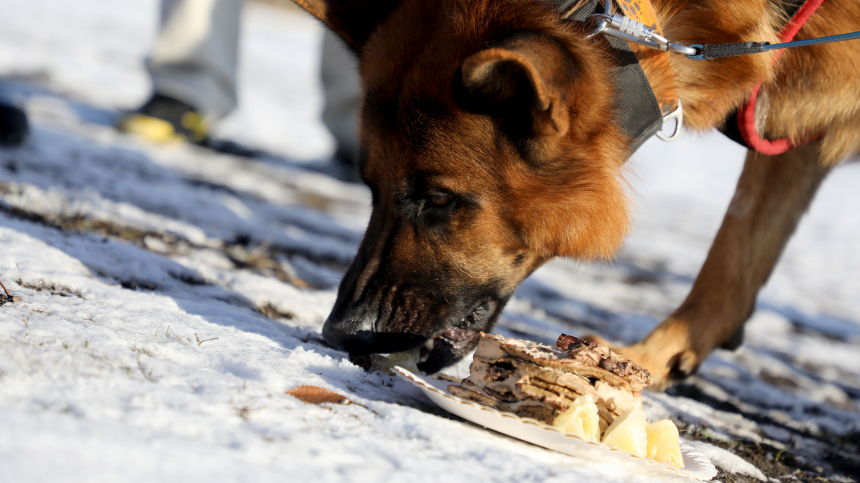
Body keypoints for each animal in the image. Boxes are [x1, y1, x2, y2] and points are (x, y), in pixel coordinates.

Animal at [292, 0, 860, 386]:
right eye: (371, 188)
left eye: (439, 199)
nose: (339, 334)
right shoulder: (791, 138)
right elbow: (734, 255)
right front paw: (655, 357)